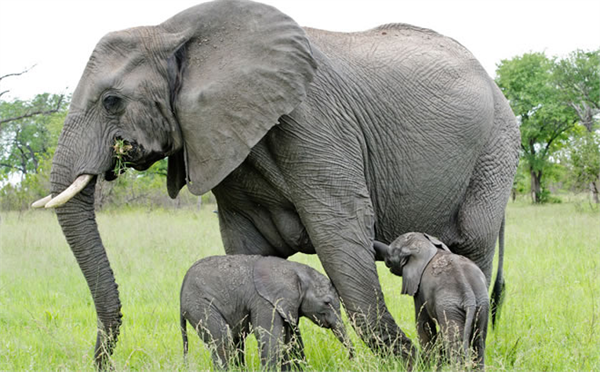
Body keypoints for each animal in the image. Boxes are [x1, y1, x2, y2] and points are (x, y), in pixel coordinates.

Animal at [180, 254, 354, 370]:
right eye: (327, 303)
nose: (350, 360)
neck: (294, 270)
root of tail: (181, 300)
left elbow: (287, 340)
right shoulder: (264, 301)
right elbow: (271, 338)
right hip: (200, 304)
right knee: (223, 339)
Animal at [378, 232, 490, 370]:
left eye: (390, 257)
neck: (428, 246)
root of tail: (468, 293)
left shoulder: (420, 290)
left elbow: (423, 325)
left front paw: (427, 366)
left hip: (449, 308)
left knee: (454, 344)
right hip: (482, 305)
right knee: (478, 341)